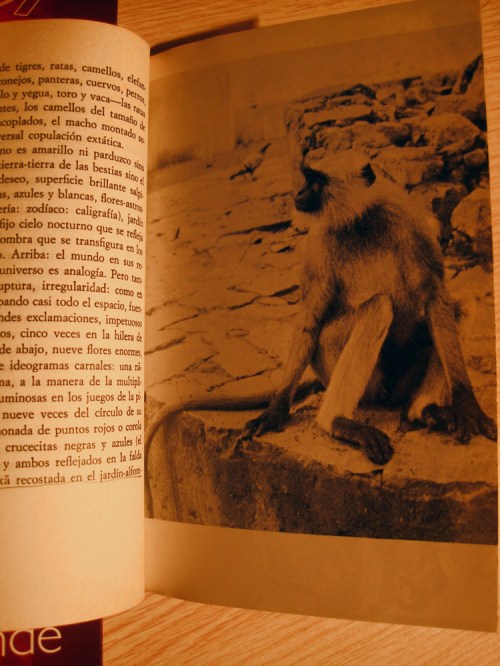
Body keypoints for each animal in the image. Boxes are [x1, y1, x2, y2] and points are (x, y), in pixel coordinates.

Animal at [144, 150, 496, 517]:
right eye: (307, 177)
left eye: (316, 180)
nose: (299, 192)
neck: (360, 220)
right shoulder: (319, 244)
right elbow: (311, 321)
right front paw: (276, 408)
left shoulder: (410, 223)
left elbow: (436, 297)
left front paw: (467, 404)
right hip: (345, 369)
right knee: (378, 306)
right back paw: (337, 421)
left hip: (398, 380)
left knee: (458, 306)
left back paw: (423, 411)